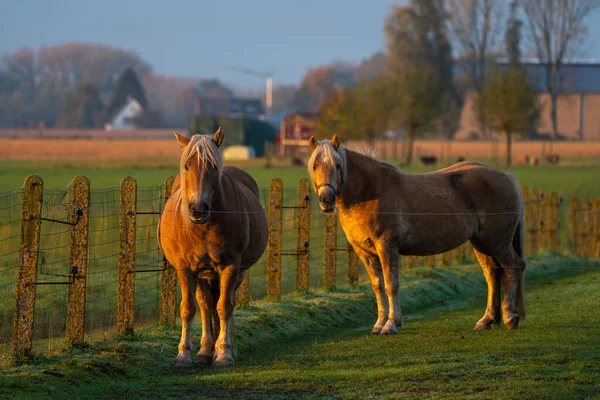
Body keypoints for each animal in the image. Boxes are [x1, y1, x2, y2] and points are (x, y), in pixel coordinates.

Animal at [157, 128, 268, 366]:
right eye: (187, 165)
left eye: (214, 167)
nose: (198, 208)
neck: (204, 227)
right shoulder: (185, 268)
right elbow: (189, 308)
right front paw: (183, 354)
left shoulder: (231, 266)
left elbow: (224, 306)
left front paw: (224, 353)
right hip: (202, 274)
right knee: (205, 305)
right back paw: (205, 350)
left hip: (236, 273)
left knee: (224, 303)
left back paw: (223, 347)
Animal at [310, 134, 524, 334]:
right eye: (314, 166)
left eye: (338, 165)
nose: (326, 199)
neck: (369, 192)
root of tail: (507, 177)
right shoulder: (365, 252)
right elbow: (378, 286)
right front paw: (379, 324)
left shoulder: (387, 246)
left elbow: (391, 285)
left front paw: (391, 324)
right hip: (481, 243)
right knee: (492, 274)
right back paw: (487, 320)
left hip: (499, 243)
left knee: (514, 267)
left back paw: (510, 317)